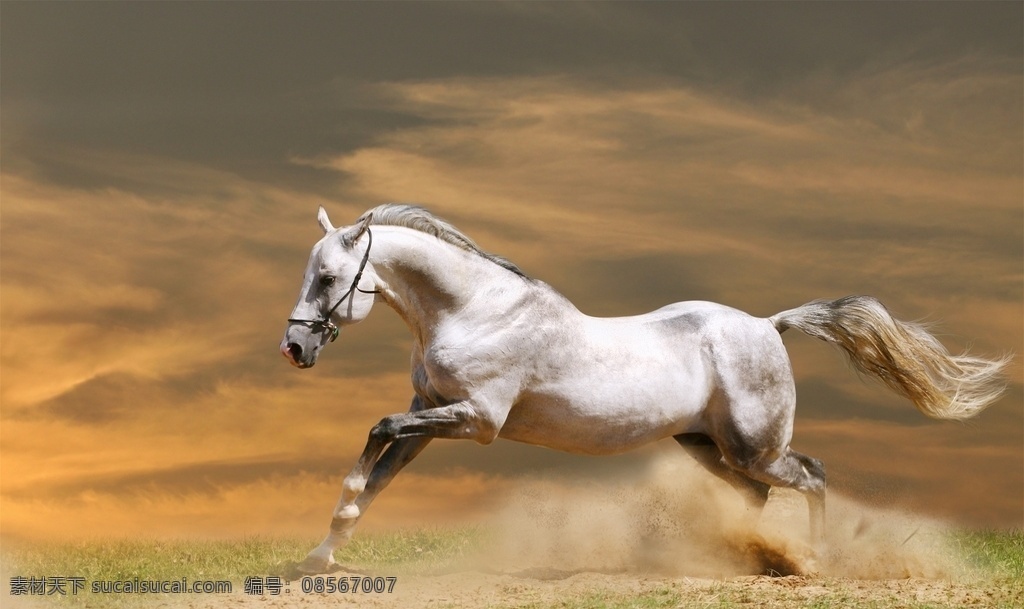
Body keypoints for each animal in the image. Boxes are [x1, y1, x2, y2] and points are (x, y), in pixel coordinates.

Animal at [280, 204, 1008, 574]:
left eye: (329, 277)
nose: (294, 348)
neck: (476, 310)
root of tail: (769, 325)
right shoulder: (430, 411)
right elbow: (380, 475)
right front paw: (318, 555)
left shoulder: (475, 419)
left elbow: (375, 436)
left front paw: (331, 528)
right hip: (705, 445)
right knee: (759, 494)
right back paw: (743, 558)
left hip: (754, 446)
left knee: (812, 474)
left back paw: (814, 560)